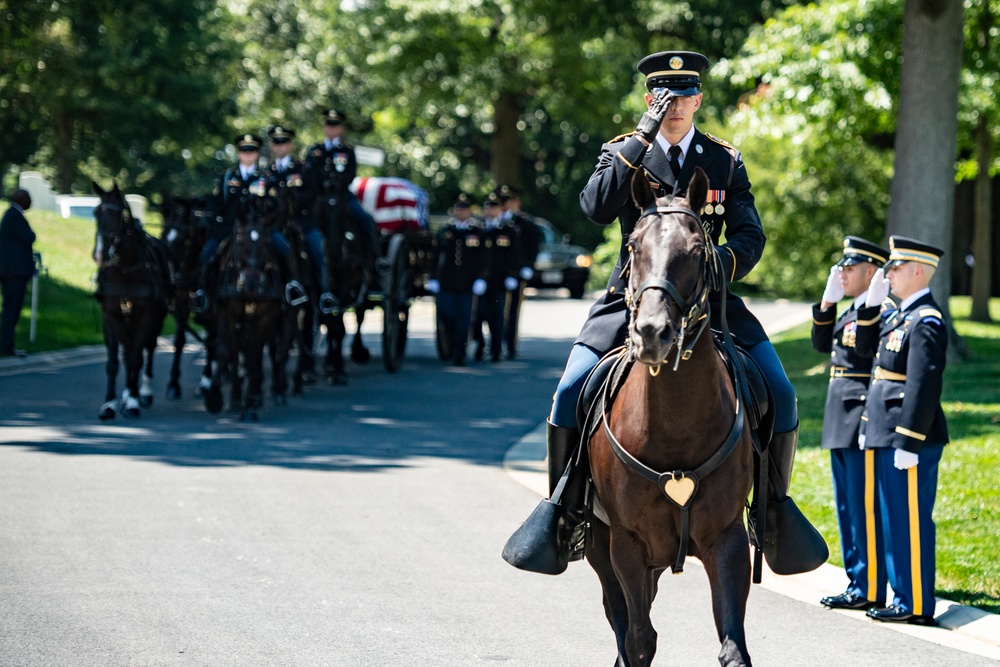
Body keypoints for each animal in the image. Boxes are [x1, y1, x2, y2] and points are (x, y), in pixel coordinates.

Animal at [93, 181, 171, 422]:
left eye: (118, 215)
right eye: (95, 213)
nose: (99, 254)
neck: (124, 271)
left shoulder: (145, 317)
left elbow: (137, 358)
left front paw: (133, 403)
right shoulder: (110, 317)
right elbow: (113, 363)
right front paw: (109, 404)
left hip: (156, 319)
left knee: (148, 349)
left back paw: (142, 393)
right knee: (127, 353)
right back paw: (127, 393)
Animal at [584, 171, 756, 667]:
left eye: (698, 250)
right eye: (633, 246)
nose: (651, 333)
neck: (675, 425)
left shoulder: (727, 539)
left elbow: (733, 648)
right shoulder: (625, 544)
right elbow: (639, 640)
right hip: (603, 550)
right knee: (622, 622)